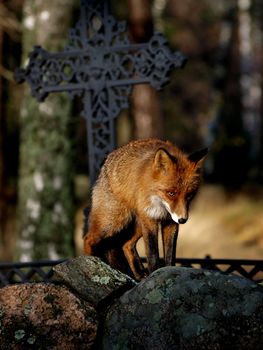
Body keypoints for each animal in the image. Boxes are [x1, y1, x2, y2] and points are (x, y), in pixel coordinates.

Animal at [83, 138, 207, 280]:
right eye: (171, 193)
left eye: (189, 195)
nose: (183, 219)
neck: (161, 207)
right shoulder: (150, 219)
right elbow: (152, 254)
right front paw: (154, 273)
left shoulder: (170, 222)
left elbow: (170, 254)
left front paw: (168, 271)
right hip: (114, 222)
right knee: (88, 239)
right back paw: (90, 262)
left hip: (136, 225)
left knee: (126, 245)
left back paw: (139, 274)